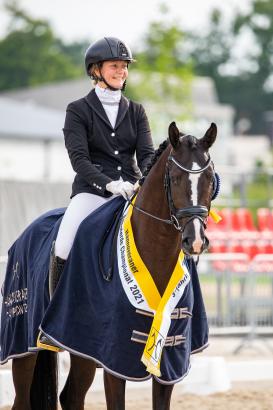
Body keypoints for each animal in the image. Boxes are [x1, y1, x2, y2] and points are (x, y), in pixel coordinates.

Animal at [1, 120, 216, 408]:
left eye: (210, 178)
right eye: (175, 178)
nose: (195, 241)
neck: (156, 254)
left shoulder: (168, 363)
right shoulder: (113, 358)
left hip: (81, 351)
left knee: (71, 395)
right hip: (25, 348)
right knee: (23, 399)